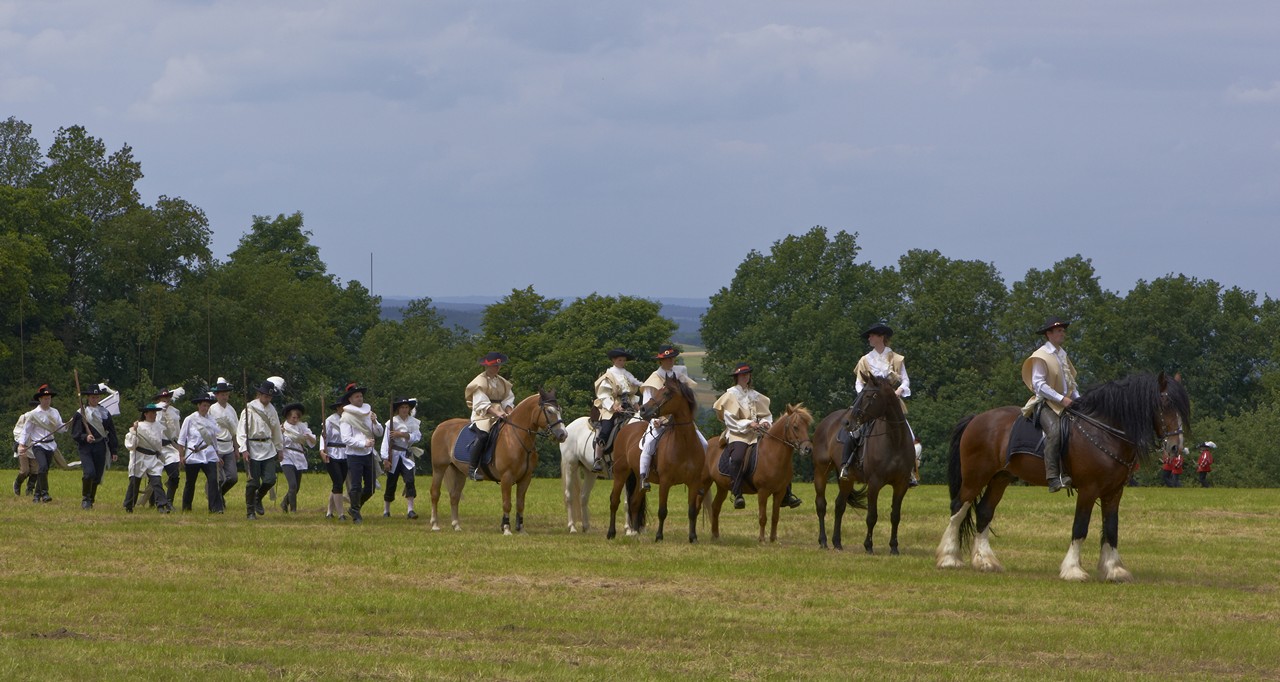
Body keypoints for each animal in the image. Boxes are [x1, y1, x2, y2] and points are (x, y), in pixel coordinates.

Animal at [429, 389, 568, 535]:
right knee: (435, 493)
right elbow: (507, 503)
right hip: (439, 468)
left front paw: (521, 529)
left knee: (454, 496)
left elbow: (520, 504)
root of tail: (440, 426)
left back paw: (456, 525)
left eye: (560, 410)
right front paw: (506, 528)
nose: (563, 434)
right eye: (550, 411)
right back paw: (435, 525)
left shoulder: (526, 478)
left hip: (459, 472)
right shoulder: (506, 477)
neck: (516, 438)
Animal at [607, 374, 706, 542]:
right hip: (621, 473)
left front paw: (693, 537)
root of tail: (625, 428)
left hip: (639, 478)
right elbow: (662, 511)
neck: (684, 445)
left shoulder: (694, 483)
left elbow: (692, 511)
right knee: (614, 501)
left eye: (666, 393)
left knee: (634, 502)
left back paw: (635, 532)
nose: (643, 409)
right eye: (658, 390)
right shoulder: (665, 482)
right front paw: (659, 536)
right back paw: (611, 533)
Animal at [703, 404, 813, 542]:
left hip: (722, 487)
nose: (808, 449)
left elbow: (775, 517)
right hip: (704, 482)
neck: (772, 454)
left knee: (715, 507)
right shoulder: (763, 492)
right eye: (795, 426)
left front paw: (773, 539)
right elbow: (762, 517)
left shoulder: (780, 492)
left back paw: (715, 536)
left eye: (807, 426)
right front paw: (762, 539)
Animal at [810, 374, 915, 554]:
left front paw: (894, 547)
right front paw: (868, 546)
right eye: (861, 394)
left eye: (869, 396)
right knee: (821, 504)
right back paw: (823, 541)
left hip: (847, 479)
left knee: (840, 505)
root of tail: (826, 422)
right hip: (821, 471)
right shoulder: (874, 483)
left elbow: (895, 516)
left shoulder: (901, 484)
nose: (847, 423)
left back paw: (837, 542)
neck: (895, 440)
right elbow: (872, 516)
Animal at [935, 372, 1189, 581]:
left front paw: (1114, 569)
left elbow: (1111, 528)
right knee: (958, 509)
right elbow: (1080, 527)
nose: (1176, 447)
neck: (1104, 431)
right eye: (1165, 404)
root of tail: (976, 418)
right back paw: (949, 558)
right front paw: (1073, 570)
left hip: (1000, 478)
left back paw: (985, 561)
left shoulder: (1114, 492)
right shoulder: (1088, 490)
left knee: (984, 512)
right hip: (975, 477)